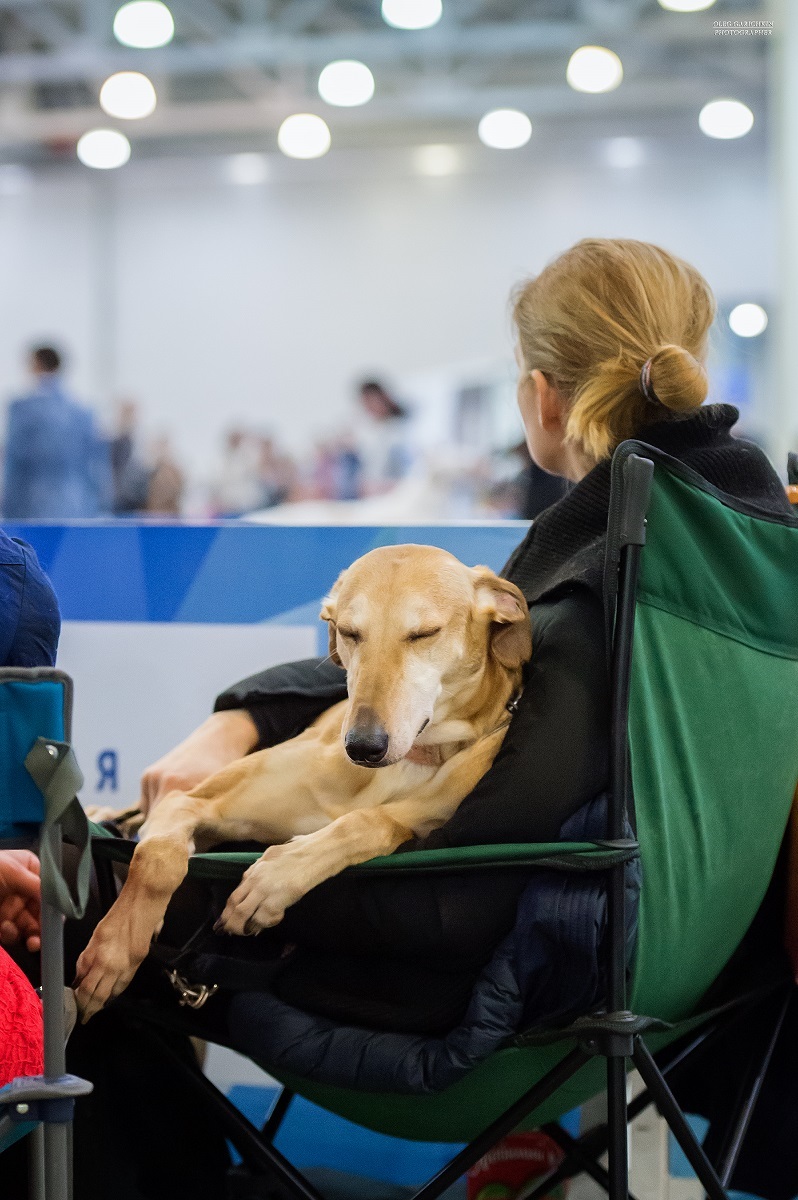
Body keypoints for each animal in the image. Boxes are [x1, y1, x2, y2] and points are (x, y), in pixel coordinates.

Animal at [74, 544, 528, 1022]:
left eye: (424, 634)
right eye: (349, 632)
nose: (363, 746)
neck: (397, 768)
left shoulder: (420, 817)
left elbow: (369, 823)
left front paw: (274, 879)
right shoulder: (188, 803)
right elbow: (157, 858)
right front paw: (114, 950)